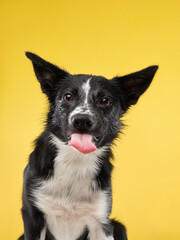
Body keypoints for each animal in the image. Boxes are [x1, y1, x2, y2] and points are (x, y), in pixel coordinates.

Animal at [18, 52, 158, 240]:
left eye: (105, 100)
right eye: (68, 96)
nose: (82, 120)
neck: (75, 160)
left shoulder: (101, 222)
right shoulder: (32, 216)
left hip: (119, 226)